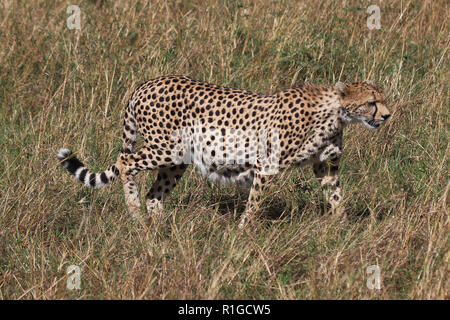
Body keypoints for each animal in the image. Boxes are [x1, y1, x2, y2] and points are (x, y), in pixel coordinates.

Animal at [57, 75, 390, 228]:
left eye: (383, 100)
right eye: (372, 102)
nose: (387, 116)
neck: (334, 112)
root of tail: (146, 83)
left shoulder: (326, 166)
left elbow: (335, 195)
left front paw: (342, 228)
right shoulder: (267, 166)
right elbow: (255, 203)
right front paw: (243, 231)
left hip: (177, 159)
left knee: (155, 193)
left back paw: (161, 229)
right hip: (166, 147)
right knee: (126, 160)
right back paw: (136, 215)